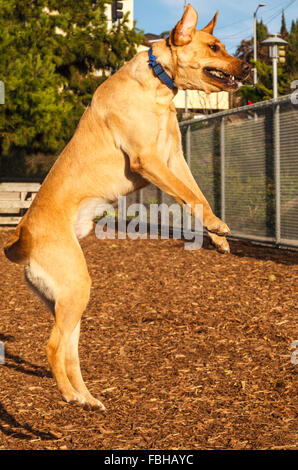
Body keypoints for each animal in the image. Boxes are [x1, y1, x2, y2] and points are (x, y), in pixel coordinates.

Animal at [4, 4, 250, 408]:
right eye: (215, 47)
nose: (247, 67)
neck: (158, 84)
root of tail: (23, 236)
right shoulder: (149, 160)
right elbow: (189, 197)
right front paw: (217, 228)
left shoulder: (174, 158)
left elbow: (198, 196)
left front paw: (218, 237)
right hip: (75, 287)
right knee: (54, 346)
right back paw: (71, 397)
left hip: (70, 301)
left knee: (69, 351)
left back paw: (86, 397)